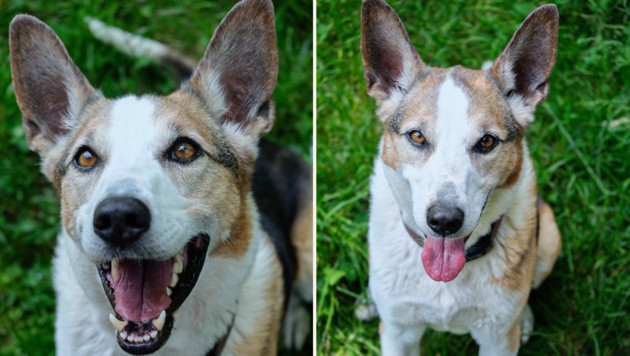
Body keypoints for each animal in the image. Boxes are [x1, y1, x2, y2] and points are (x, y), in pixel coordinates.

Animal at [362, 0, 564, 354]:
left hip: (549, 237)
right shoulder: (399, 333)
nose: (444, 221)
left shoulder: (497, 340)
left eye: (487, 142)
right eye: (416, 136)